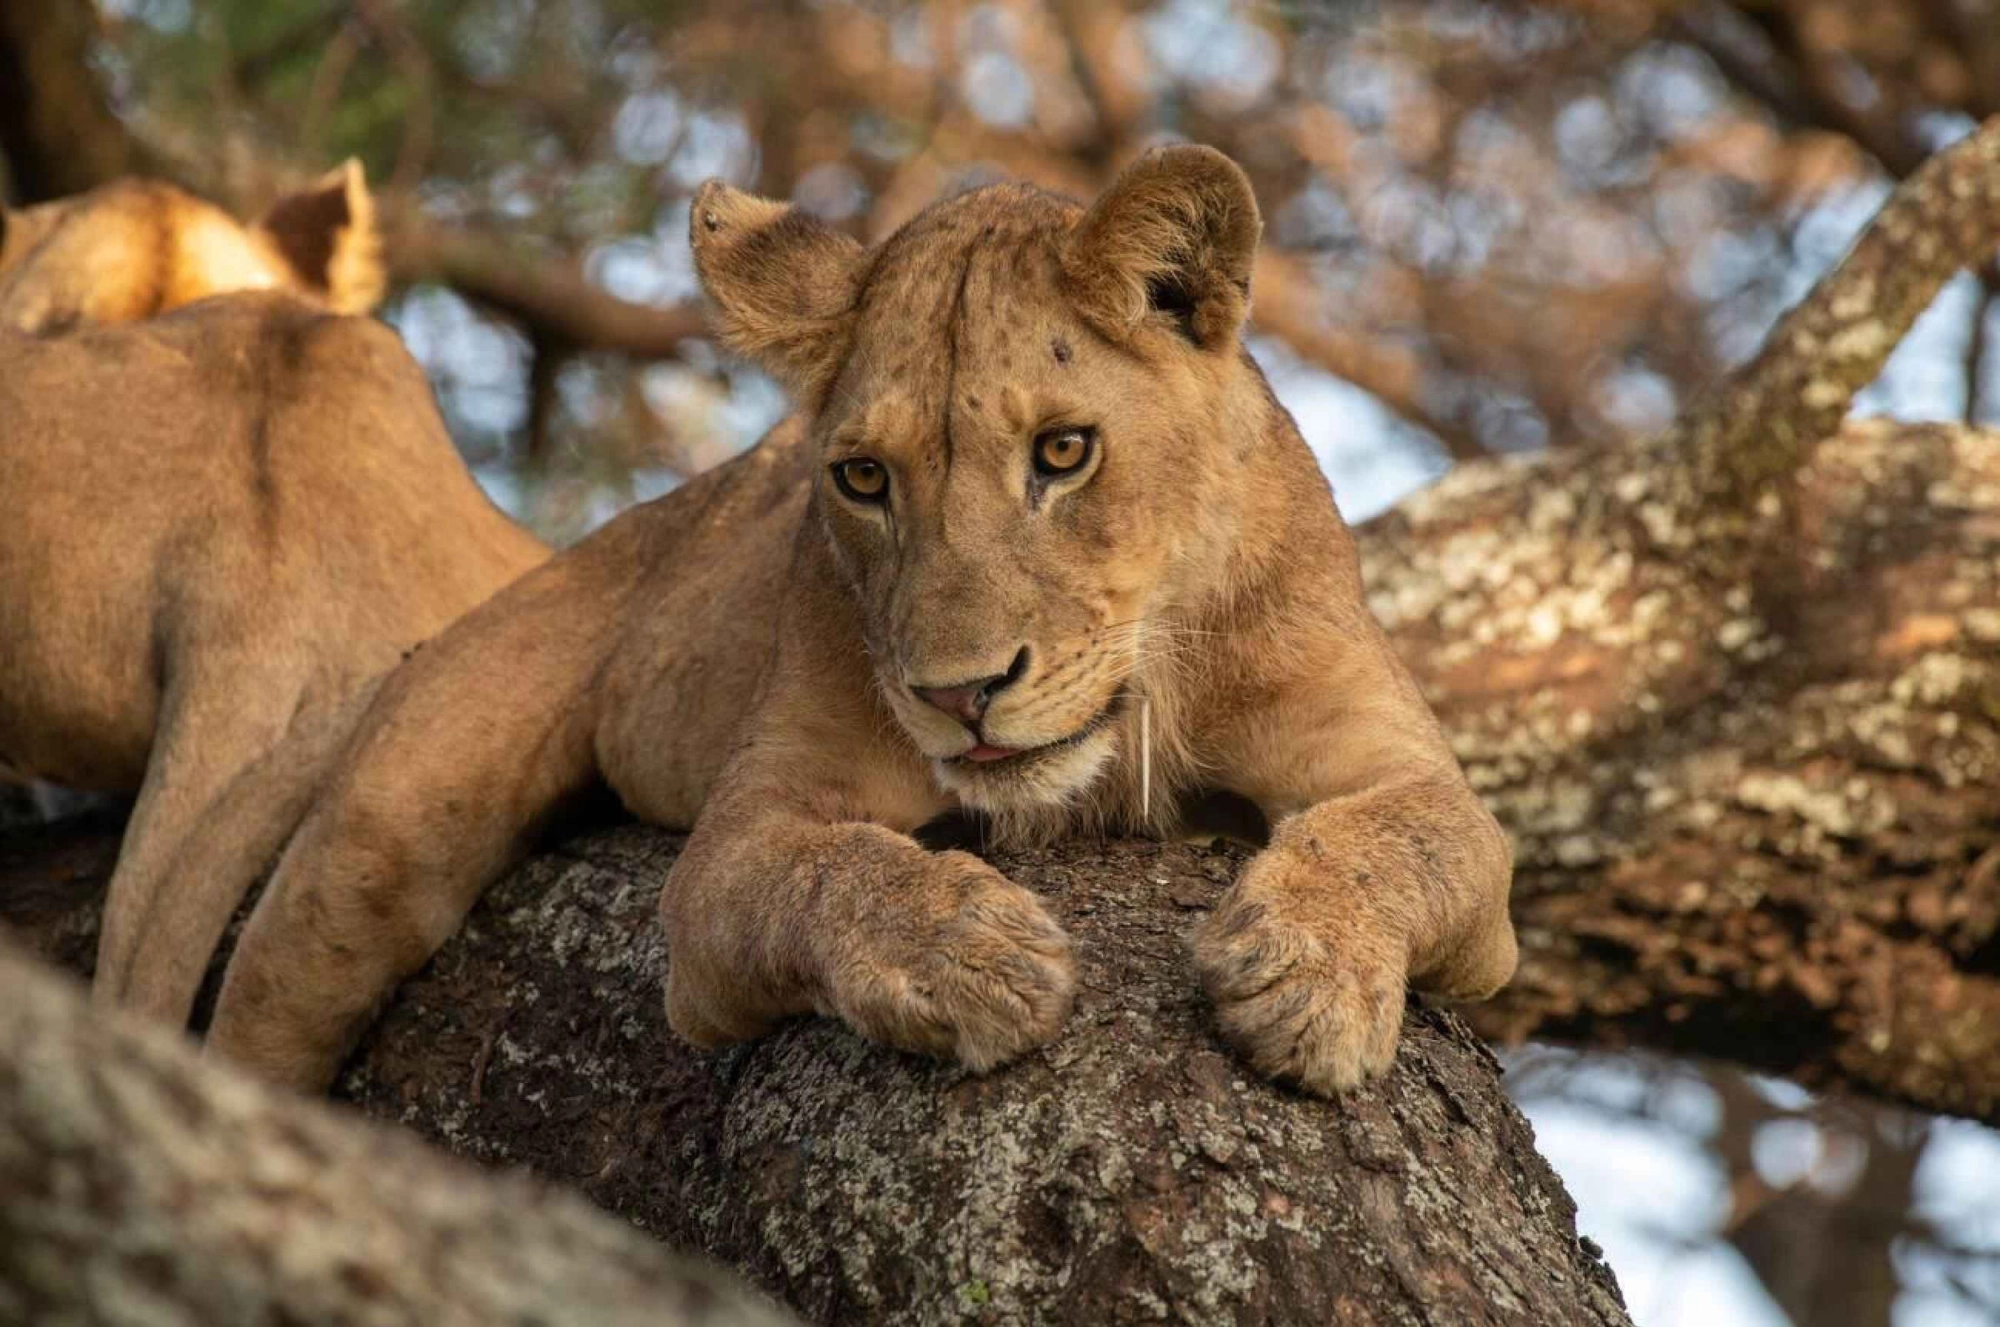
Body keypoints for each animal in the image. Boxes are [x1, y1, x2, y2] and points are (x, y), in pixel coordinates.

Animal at [187, 146, 1516, 1097]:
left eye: (1063, 453)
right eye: (864, 478)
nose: (958, 693)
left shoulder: (1398, 769)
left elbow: (1406, 837)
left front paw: (1300, 973)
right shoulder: (746, 832)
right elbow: (823, 870)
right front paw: (969, 950)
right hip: (376, 838)